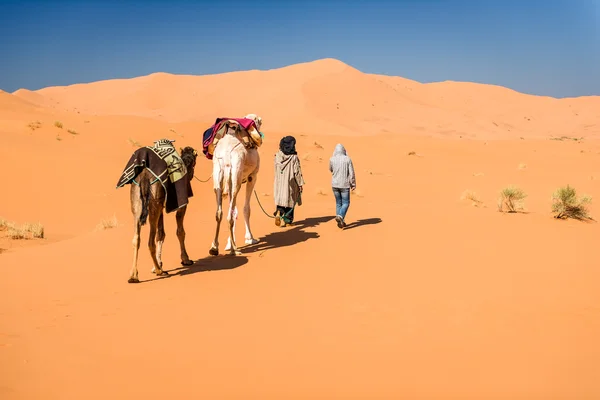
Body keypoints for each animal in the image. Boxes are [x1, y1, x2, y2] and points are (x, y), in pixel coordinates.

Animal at [128, 145, 198, 282]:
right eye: (194, 163)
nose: (191, 175)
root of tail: (144, 176)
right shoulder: (182, 205)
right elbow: (180, 231)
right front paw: (186, 259)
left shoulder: (161, 207)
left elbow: (160, 234)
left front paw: (158, 263)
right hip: (153, 202)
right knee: (149, 241)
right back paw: (159, 271)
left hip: (138, 204)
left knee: (136, 239)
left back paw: (134, 275)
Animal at [209, 114, 262, 256]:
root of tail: (227, 154)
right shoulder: (252, 176)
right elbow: (246, 209)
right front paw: (250, 238)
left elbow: (234, 210)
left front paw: (228, 243)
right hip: (237, 172)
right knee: (229, 214)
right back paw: (235, 250)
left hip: (219, 172)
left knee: (220, 213)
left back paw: (215, 247)